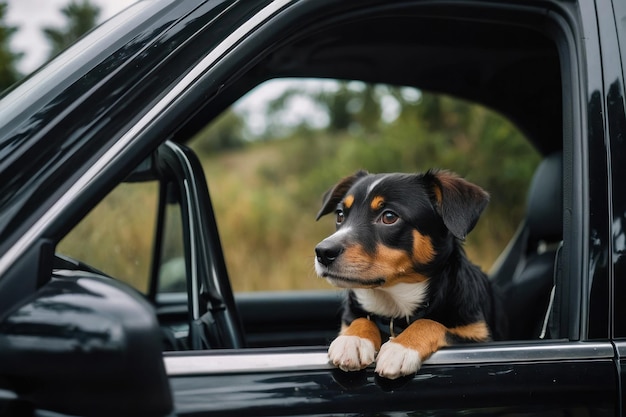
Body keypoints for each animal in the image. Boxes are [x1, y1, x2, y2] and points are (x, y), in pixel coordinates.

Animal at [312, 168, 502, 376]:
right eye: (340, 215)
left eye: (389, 217)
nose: (323, 252)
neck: (393, 304)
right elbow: (363, 318)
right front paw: (353, 340)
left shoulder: (479, 337)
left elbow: (429, 323)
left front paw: (400, 348)